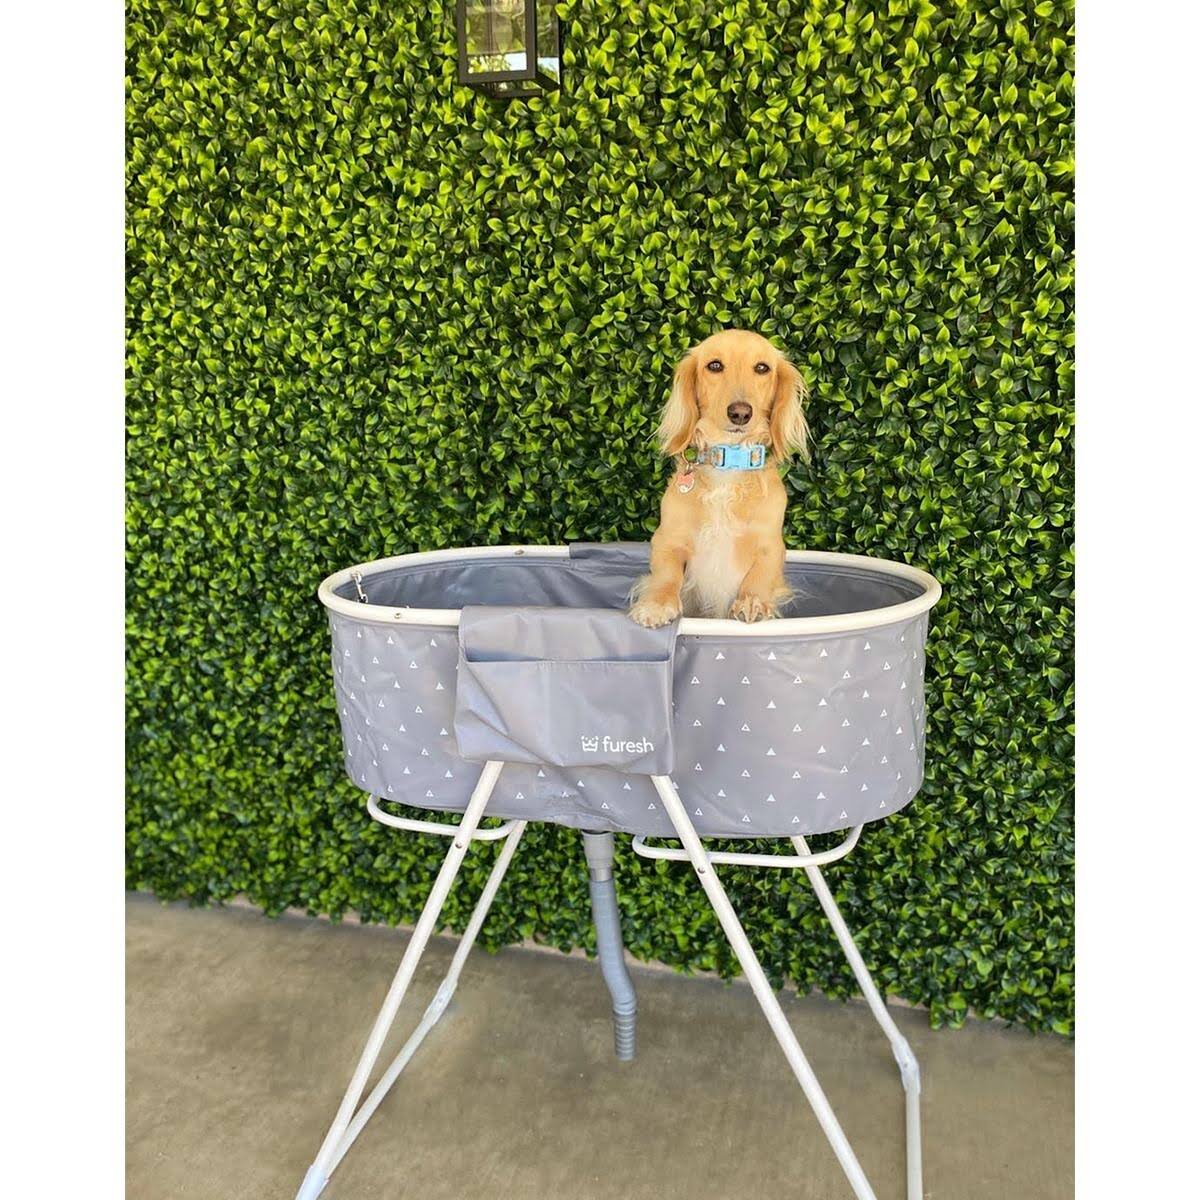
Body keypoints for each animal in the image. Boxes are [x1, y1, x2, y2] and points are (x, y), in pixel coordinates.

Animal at [629, 329, 810, 627]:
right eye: (714, 365)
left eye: (762, 368)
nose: (740, 413)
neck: (729, 460)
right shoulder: (668, 539)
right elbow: (666, 575)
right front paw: (656, 605)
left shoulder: (770, 544)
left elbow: (760, 576)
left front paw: (752, 602)